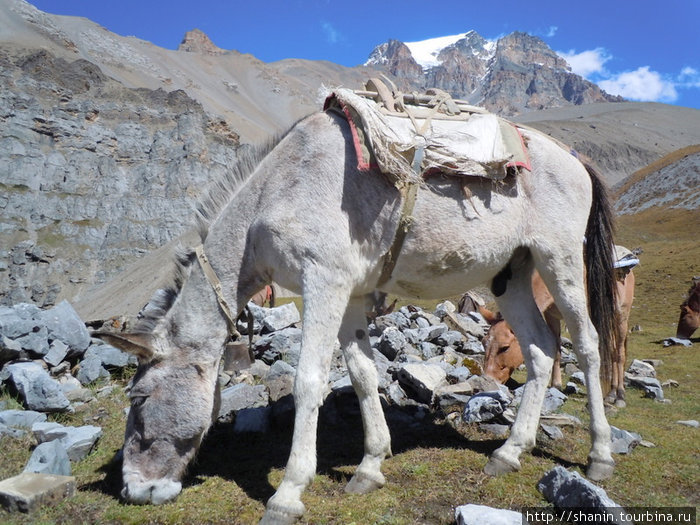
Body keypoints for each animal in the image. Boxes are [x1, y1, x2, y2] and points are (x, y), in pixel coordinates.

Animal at [482, 264, 636, 408]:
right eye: (484, 343)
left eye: (505, 347)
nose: (488, 381)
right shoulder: (551, 316)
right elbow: (556, 350)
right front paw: (556, 385)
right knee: (613, 351)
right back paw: (611, 392)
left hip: (620, 316)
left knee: (619, 354)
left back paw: (619, 394)